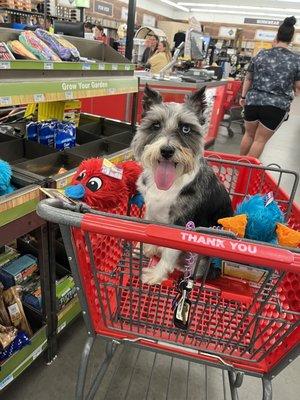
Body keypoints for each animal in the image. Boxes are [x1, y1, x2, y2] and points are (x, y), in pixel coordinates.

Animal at [132, 84, 233, 284]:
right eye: (156, 125)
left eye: (186, 129)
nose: (167, 150)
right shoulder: (151, 209)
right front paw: (148, 247)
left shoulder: (181, 224)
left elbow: (169, 253)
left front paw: (156, 274)